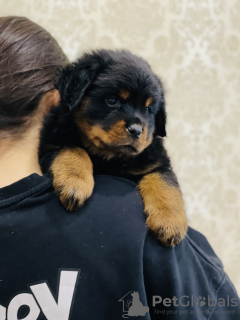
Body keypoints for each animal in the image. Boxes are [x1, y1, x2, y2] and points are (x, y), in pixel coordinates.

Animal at [39, 49, 188, 248]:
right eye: (112, 100)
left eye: (148, 109)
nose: (136, 130)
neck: (111, 157)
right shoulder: (51, 143)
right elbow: (73, 149)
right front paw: (74, 182)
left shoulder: (157, 161)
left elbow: (164, 183)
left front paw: (170, 223)